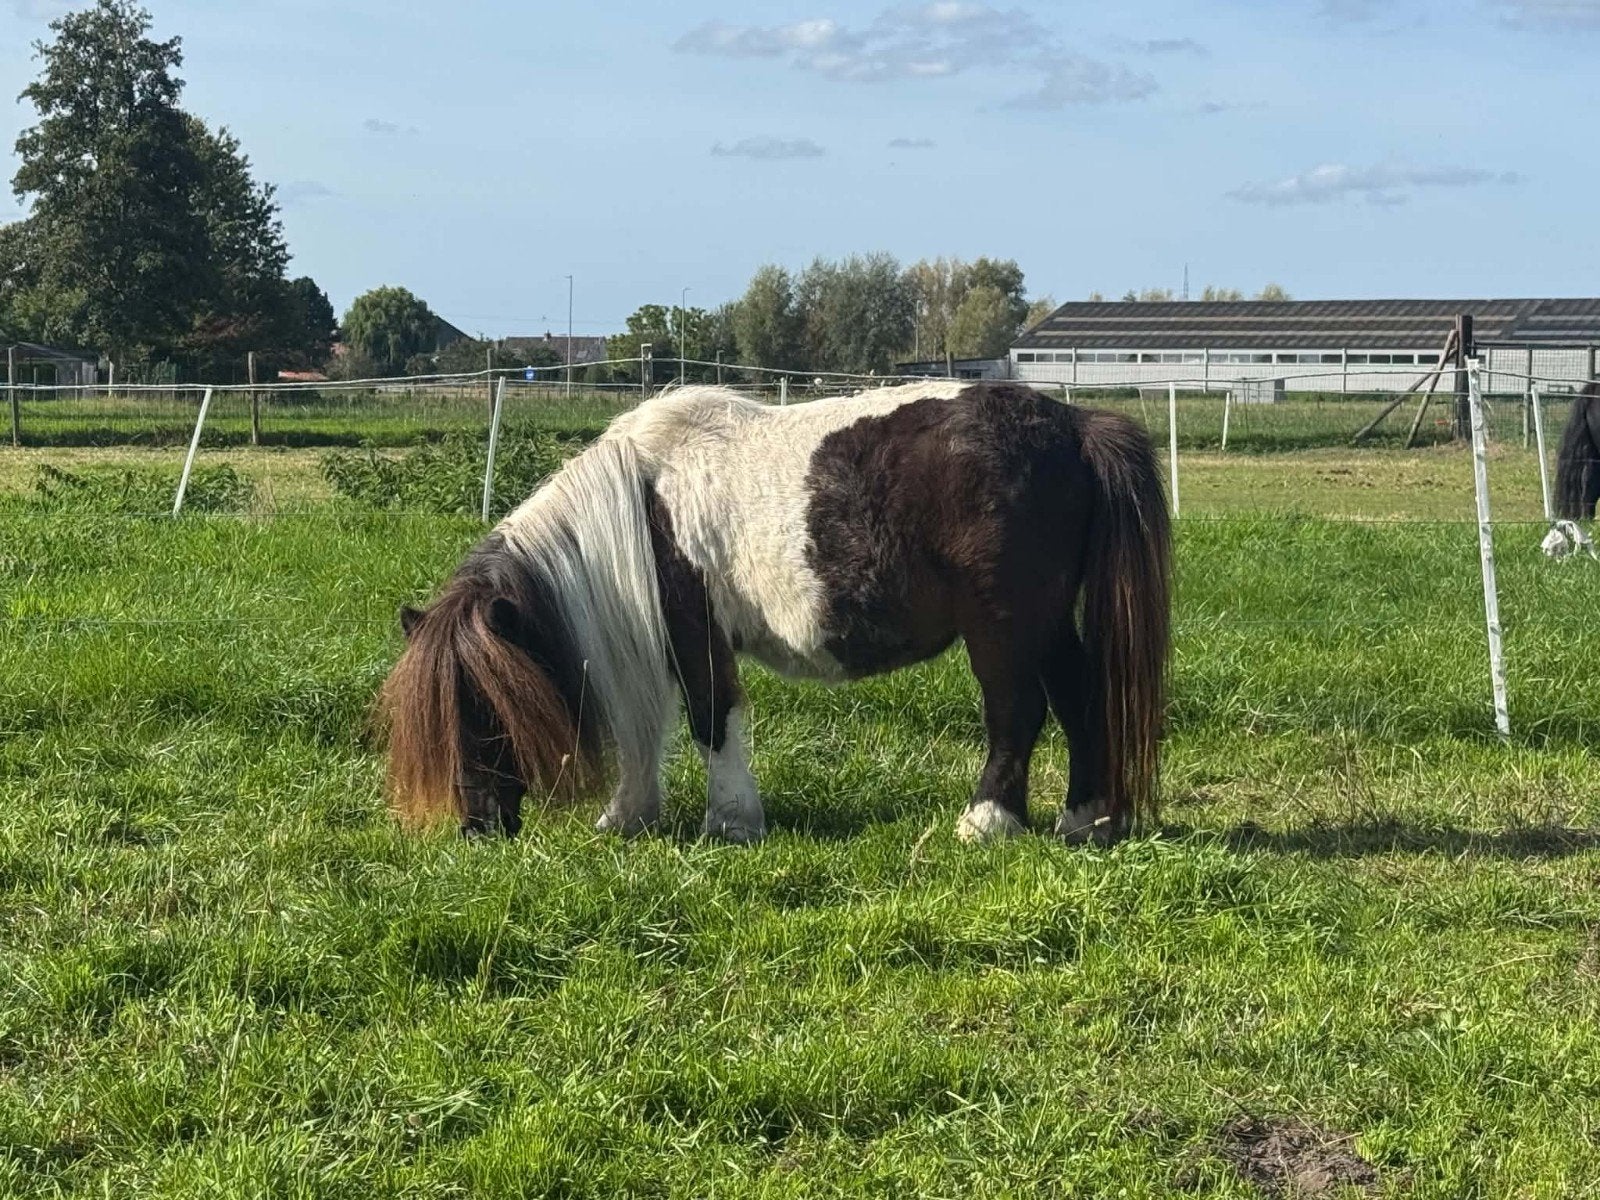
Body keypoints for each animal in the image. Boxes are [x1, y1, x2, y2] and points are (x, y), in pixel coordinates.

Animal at [379, 380, 1171, 847]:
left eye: (480, 708)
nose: (476, 826)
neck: (638, 507)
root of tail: (1075, 424)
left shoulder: (693, 635)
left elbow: (710, 719)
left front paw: (730, 821)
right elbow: (653, 730)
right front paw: (629, 814)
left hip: (1004, 625)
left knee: (1018, 712)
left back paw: (987, 821)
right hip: (1046, 623)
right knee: (1077, 698)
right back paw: (1085, 819)